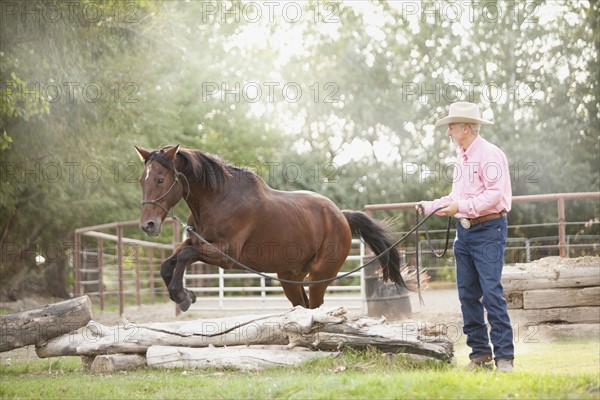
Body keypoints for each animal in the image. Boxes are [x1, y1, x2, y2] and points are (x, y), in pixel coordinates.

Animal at [135, 145, 406, 310]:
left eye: (160, 179)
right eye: (141, 180)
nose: (148, 225)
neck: (219, 199)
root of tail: (340, 215)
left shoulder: (226, 255)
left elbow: (184, 256)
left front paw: (182, 295)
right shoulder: (195, 241)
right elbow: (169, 262)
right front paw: (183, 294)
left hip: (319, 276)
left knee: (315, 307)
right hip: (290, 278)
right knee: (303, 306)